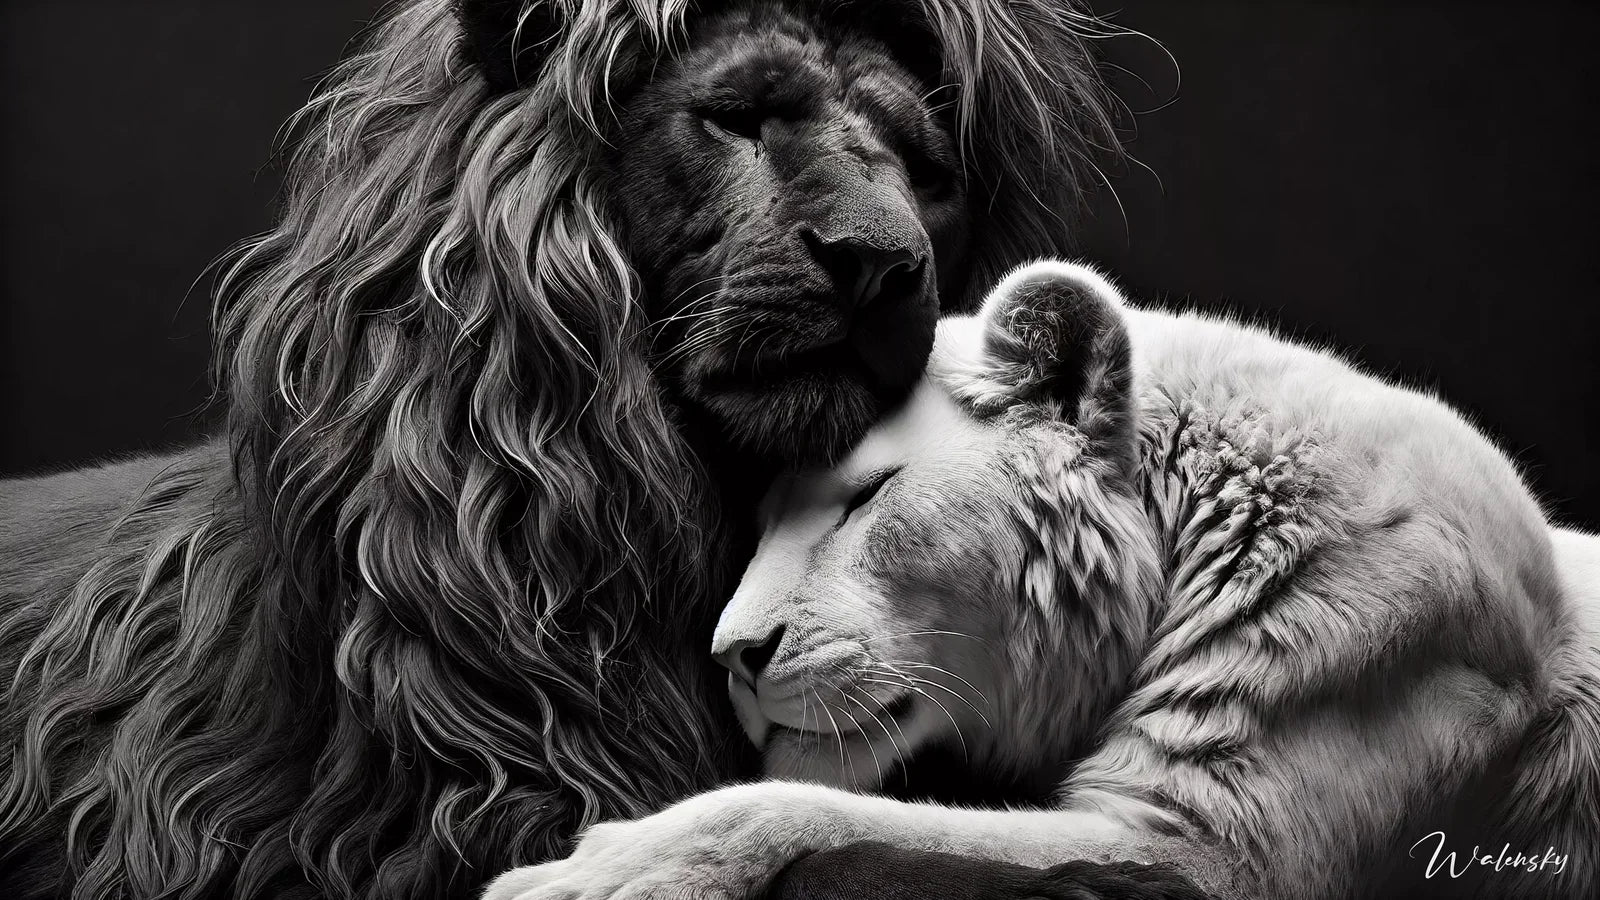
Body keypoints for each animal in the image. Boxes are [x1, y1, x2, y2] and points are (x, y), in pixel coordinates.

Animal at [485, 261, 1600, 900]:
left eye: (866, 495)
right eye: (761, 522)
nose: (732, 658)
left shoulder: (1215, 855)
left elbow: (822, 814)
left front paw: (602, 871)